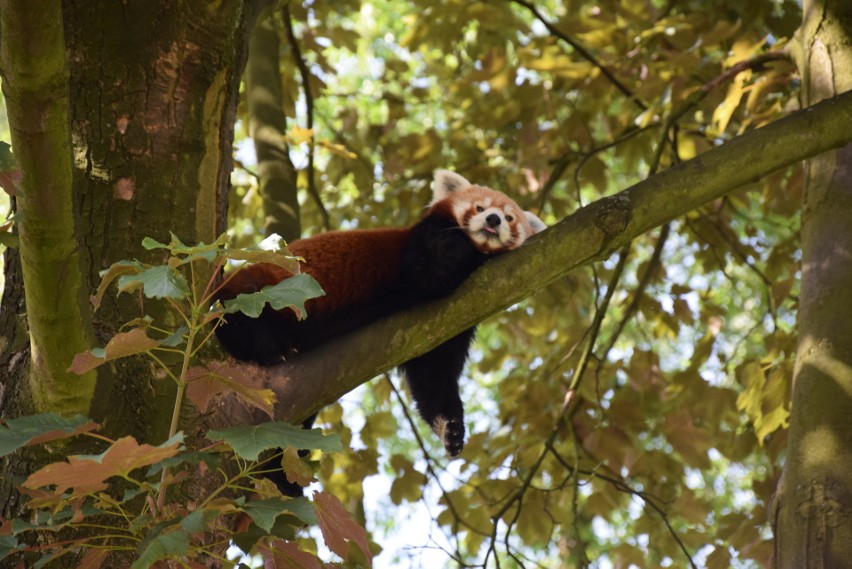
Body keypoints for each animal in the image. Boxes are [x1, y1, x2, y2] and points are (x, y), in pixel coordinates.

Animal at [215, 171, 544, 460]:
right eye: (480, 207)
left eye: (510, 218)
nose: (493, 220)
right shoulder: (426, 246)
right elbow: (432, 272)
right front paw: (473, 253)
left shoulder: (456, 315)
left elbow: (433, 374)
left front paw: (449, 428)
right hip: (263, 291)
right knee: (242, 312)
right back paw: (270, 347)